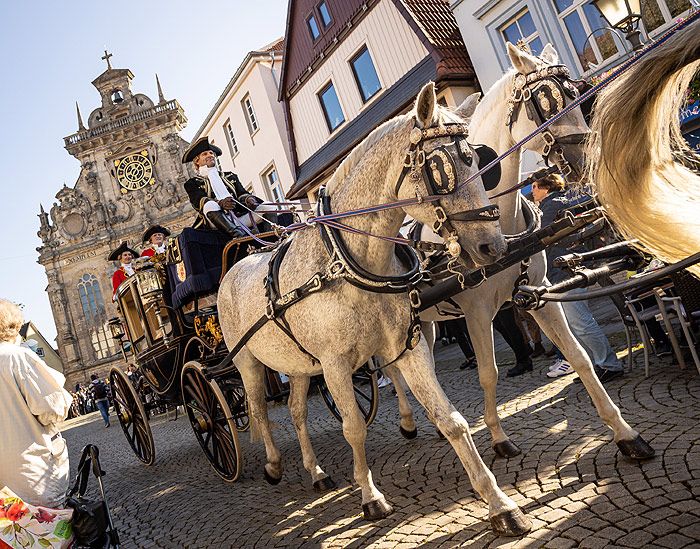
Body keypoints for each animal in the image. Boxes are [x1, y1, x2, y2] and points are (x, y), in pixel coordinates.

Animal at [219, 82, 536, 536]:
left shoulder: (407, 346)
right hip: (247, 361)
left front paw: (500, 504)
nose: (494, 246)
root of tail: (235, 266)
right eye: (439, 168)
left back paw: (316, 471)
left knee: (297, 411)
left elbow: (452, 420)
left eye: (477, 159)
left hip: (299, 365)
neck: (346, 261)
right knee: (260, 411)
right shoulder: (335, 365)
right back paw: (274, 464)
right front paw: (370, 496)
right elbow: (353, 428)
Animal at [382, 44, 656, 462]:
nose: (586, 160)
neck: (501, 228)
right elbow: (488, 374)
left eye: (574, 92)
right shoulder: (479, 312)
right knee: (392, 371)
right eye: (546, 100)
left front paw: (625, 433)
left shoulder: (538, 294)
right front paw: (498, 437)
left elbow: (578, 356)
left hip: (425, 322)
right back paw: (408, 422)